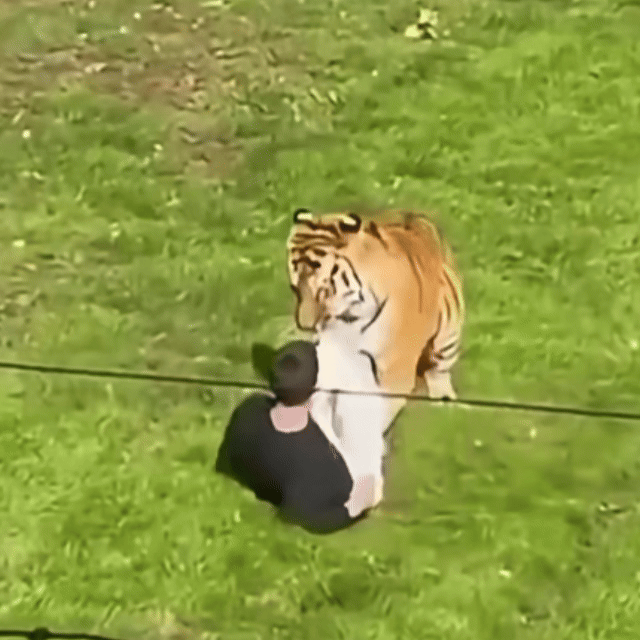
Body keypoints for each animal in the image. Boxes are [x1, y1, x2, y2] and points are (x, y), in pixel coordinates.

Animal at [286, 208, 465, 505]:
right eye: (294, 289)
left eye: (323, 290)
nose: (305, 326)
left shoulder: (394, 372)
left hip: (448, 335)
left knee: (439, 371)